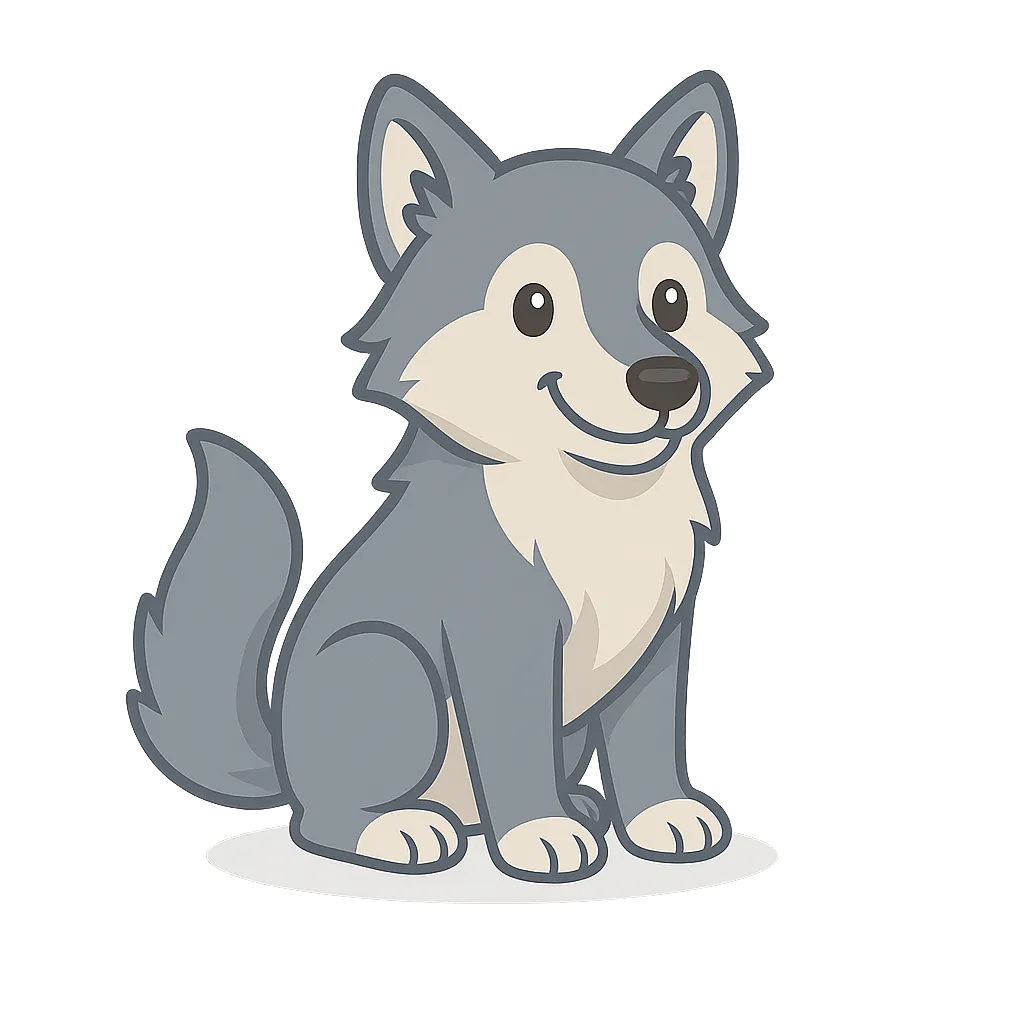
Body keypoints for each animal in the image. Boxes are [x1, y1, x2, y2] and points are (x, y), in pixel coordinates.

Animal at [126, 72, 772, 884]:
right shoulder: (502, 642)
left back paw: (556, 809)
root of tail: (280, 756)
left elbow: (646, 744)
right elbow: (515, 751)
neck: (592, 506)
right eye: (534, 306)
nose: (666, 379)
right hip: (393, 669)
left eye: (672, 301)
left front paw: (661, 818)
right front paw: (539, 835)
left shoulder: (660, 640)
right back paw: (400, 830)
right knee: (326, 817)